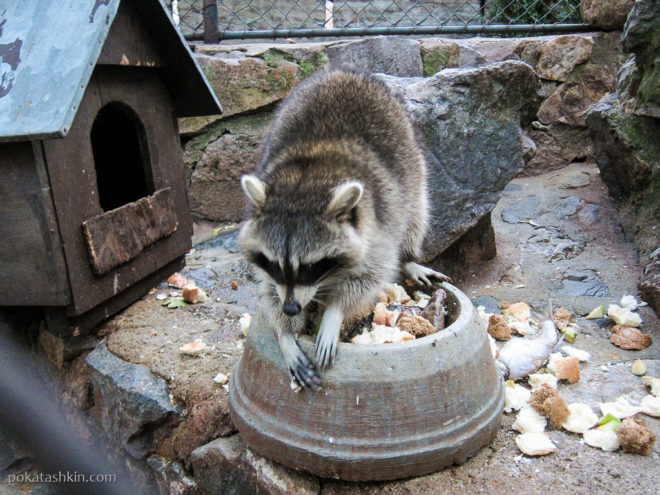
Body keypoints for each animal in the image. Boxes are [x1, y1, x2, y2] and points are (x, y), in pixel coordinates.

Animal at [237, 68, 448, 390]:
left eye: (310, 266)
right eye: (273, 263)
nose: (291, 310)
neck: (306, 178)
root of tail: (341, 70)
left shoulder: (380, 224)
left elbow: (368, 275)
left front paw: (334, 313)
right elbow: (269, 288)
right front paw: (286, 334)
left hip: (411, 161)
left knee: (416, 211)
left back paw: (409, 257)